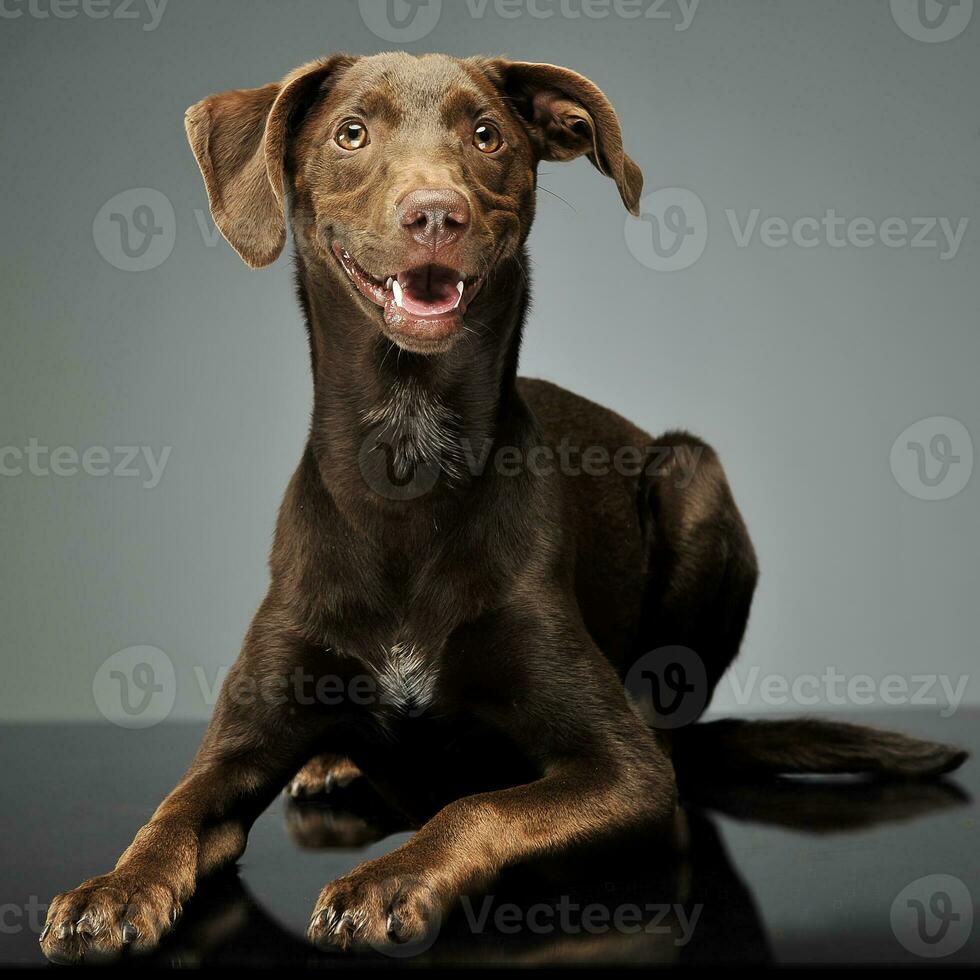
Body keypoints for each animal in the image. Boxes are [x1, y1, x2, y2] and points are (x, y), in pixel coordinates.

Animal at [42, 49, 968, 960]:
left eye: (486, 134)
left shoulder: (625, 772)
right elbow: (173, 811)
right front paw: (111, 889)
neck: (407, 454)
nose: (435, 215)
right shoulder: (240, 742)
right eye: (351, 133)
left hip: (691, 474)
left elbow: (479, 805)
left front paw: (390, 880)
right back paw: (331, 764)